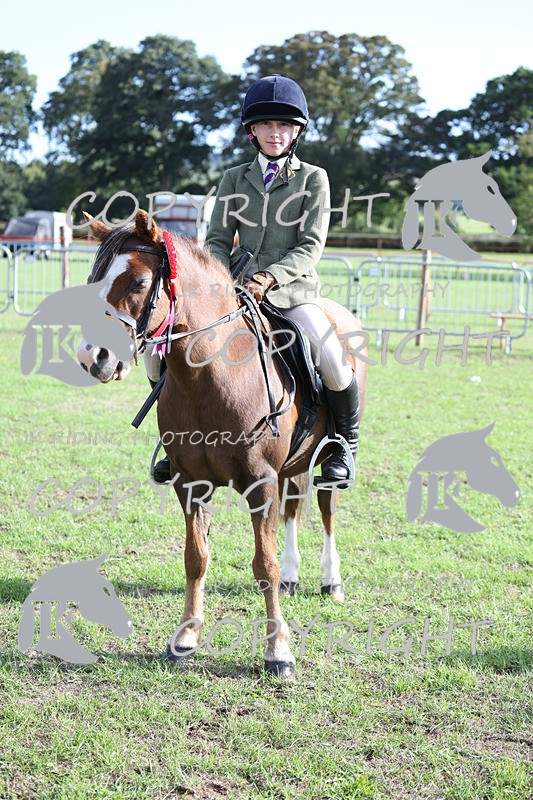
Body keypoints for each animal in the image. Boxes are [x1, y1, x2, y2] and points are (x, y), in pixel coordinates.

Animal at [78, 209, 368, 679]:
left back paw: (331, 580)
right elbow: (196, 557)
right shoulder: (189, 482)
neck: (210, 376)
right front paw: (186, 637)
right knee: (294, 507)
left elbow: (263, 564)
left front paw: (279, 651)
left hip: (326, 457)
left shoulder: (260, 482)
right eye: (94, 280)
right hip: (293, 464)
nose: (93, 357)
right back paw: (294, 577)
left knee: (326, 509)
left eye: (139, 283)